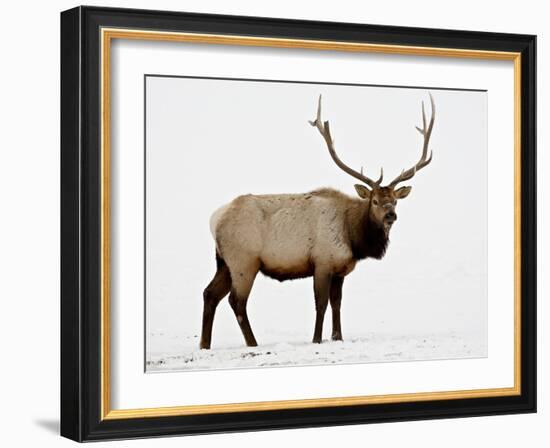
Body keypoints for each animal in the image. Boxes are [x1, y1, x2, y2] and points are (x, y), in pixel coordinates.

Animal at [201, 93, 438, 348]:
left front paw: (338, 336)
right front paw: (316, 339)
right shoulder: (322, 262)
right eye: (374, 201)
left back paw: (205, 344)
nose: (390, 215)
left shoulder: (340, 269)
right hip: (243, 261)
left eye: (394, 200)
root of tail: (215, 219)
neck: (353, 237)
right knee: (236, 301)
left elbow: (337, 303)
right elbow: (321, 304)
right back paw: (252, 343)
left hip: (224, 262)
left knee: (209, 294)